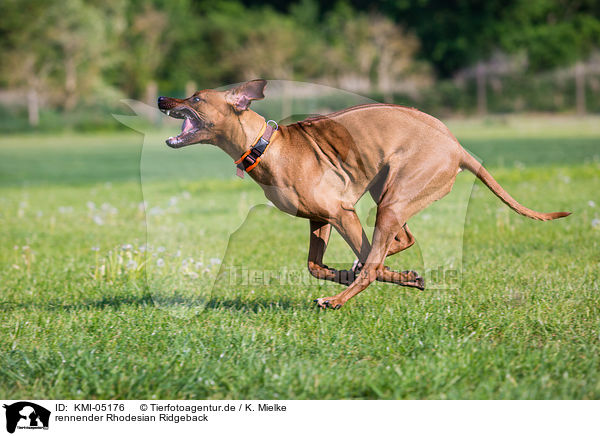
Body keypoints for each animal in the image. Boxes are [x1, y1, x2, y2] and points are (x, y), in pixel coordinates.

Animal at [157, 80, 568, 308]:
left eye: (195, 99)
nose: (162, 99)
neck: (268, 146)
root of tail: (457, 146)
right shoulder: (319, 219)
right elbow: (315, 265)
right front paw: (358, 273)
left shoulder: (342, 214)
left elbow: (367, 261)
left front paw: (378, 276)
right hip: (386, 190)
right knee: (400, 239)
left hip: (392, 199)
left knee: (375, 260)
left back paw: (338, 300)